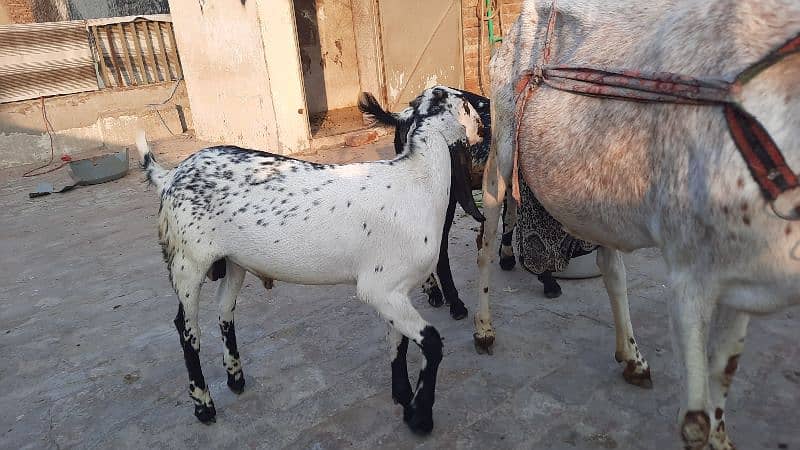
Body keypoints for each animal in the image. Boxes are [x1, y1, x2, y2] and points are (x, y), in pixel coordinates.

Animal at [476, 1, 800, 448]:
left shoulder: (741, 279)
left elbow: (723, 383)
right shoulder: (687, 277)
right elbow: (696, 422)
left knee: (611, 268)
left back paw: (631, 357)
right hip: (501, 155)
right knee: (486, 240)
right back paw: (483, 330)